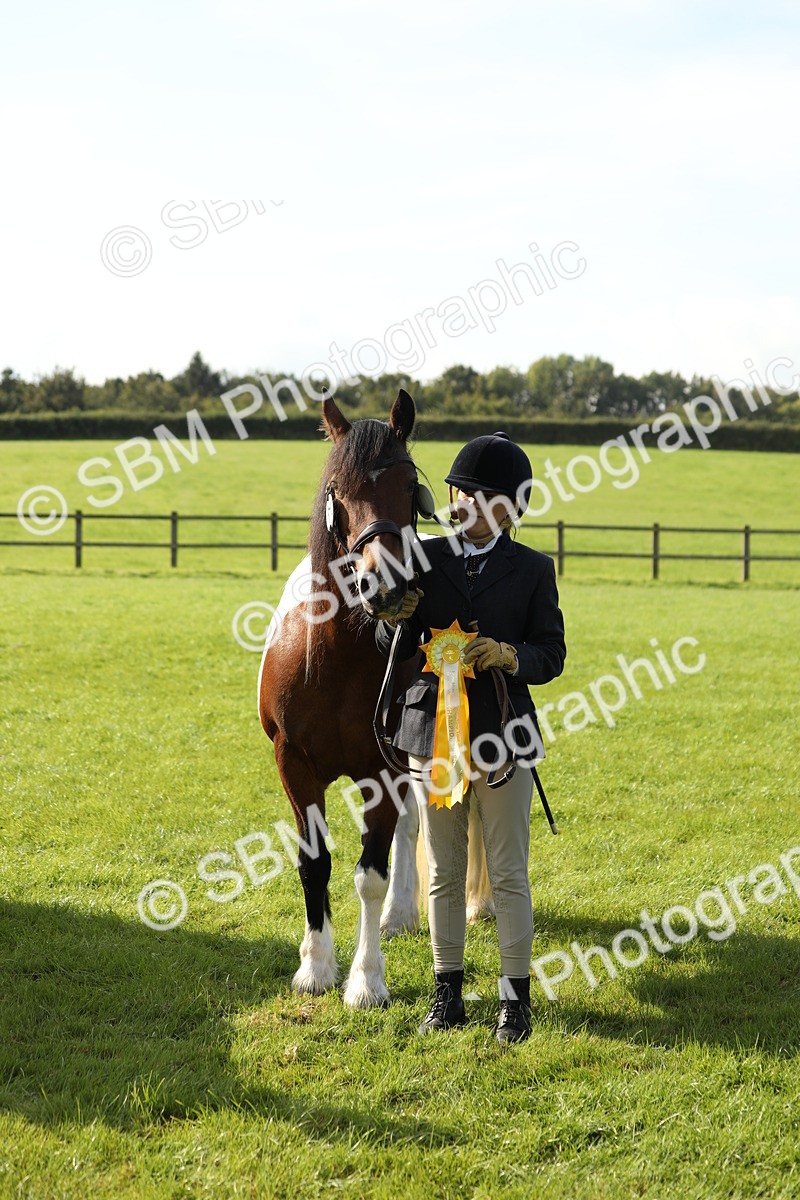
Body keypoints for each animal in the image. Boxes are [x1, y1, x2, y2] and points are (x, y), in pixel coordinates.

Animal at [258, 389, 493, 1008]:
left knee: (412, 831)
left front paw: (366, 980)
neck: (336, 660)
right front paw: (316, 967)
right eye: (337, 491)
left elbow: (370, 872)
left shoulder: (381, 771)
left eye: (409, 486)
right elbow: (314, 863)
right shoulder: (294, 765)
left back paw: (413, 912)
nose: (384, 587)